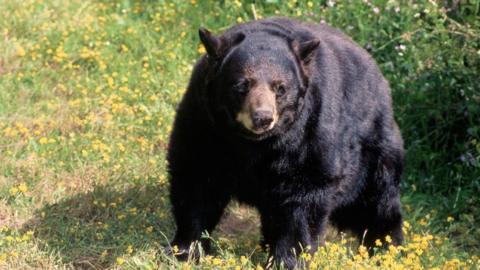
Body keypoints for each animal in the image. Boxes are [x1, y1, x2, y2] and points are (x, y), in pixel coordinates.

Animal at [167, 16, 404, 268]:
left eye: (280, 88)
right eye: (242, 85)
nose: (262, 117)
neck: (253, 144)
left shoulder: (309, 134)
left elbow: (303, 197)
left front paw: (287, 259)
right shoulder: (204, 124)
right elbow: (197, 178)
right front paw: (185, 249)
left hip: (372, 151)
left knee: (376, 200)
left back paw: (386, 248)